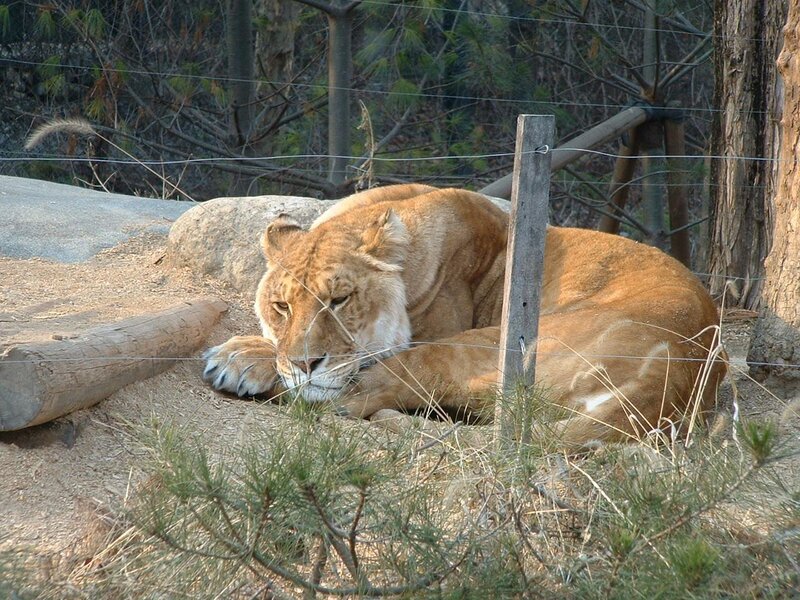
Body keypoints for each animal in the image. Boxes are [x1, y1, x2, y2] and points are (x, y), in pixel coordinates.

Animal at [203, 184, 726, 447]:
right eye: (282, 306)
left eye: (340, 300)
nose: (305, 363)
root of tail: (670, 377)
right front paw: (250, 352)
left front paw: (243, 358)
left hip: (482, 346)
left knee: (349, 398)